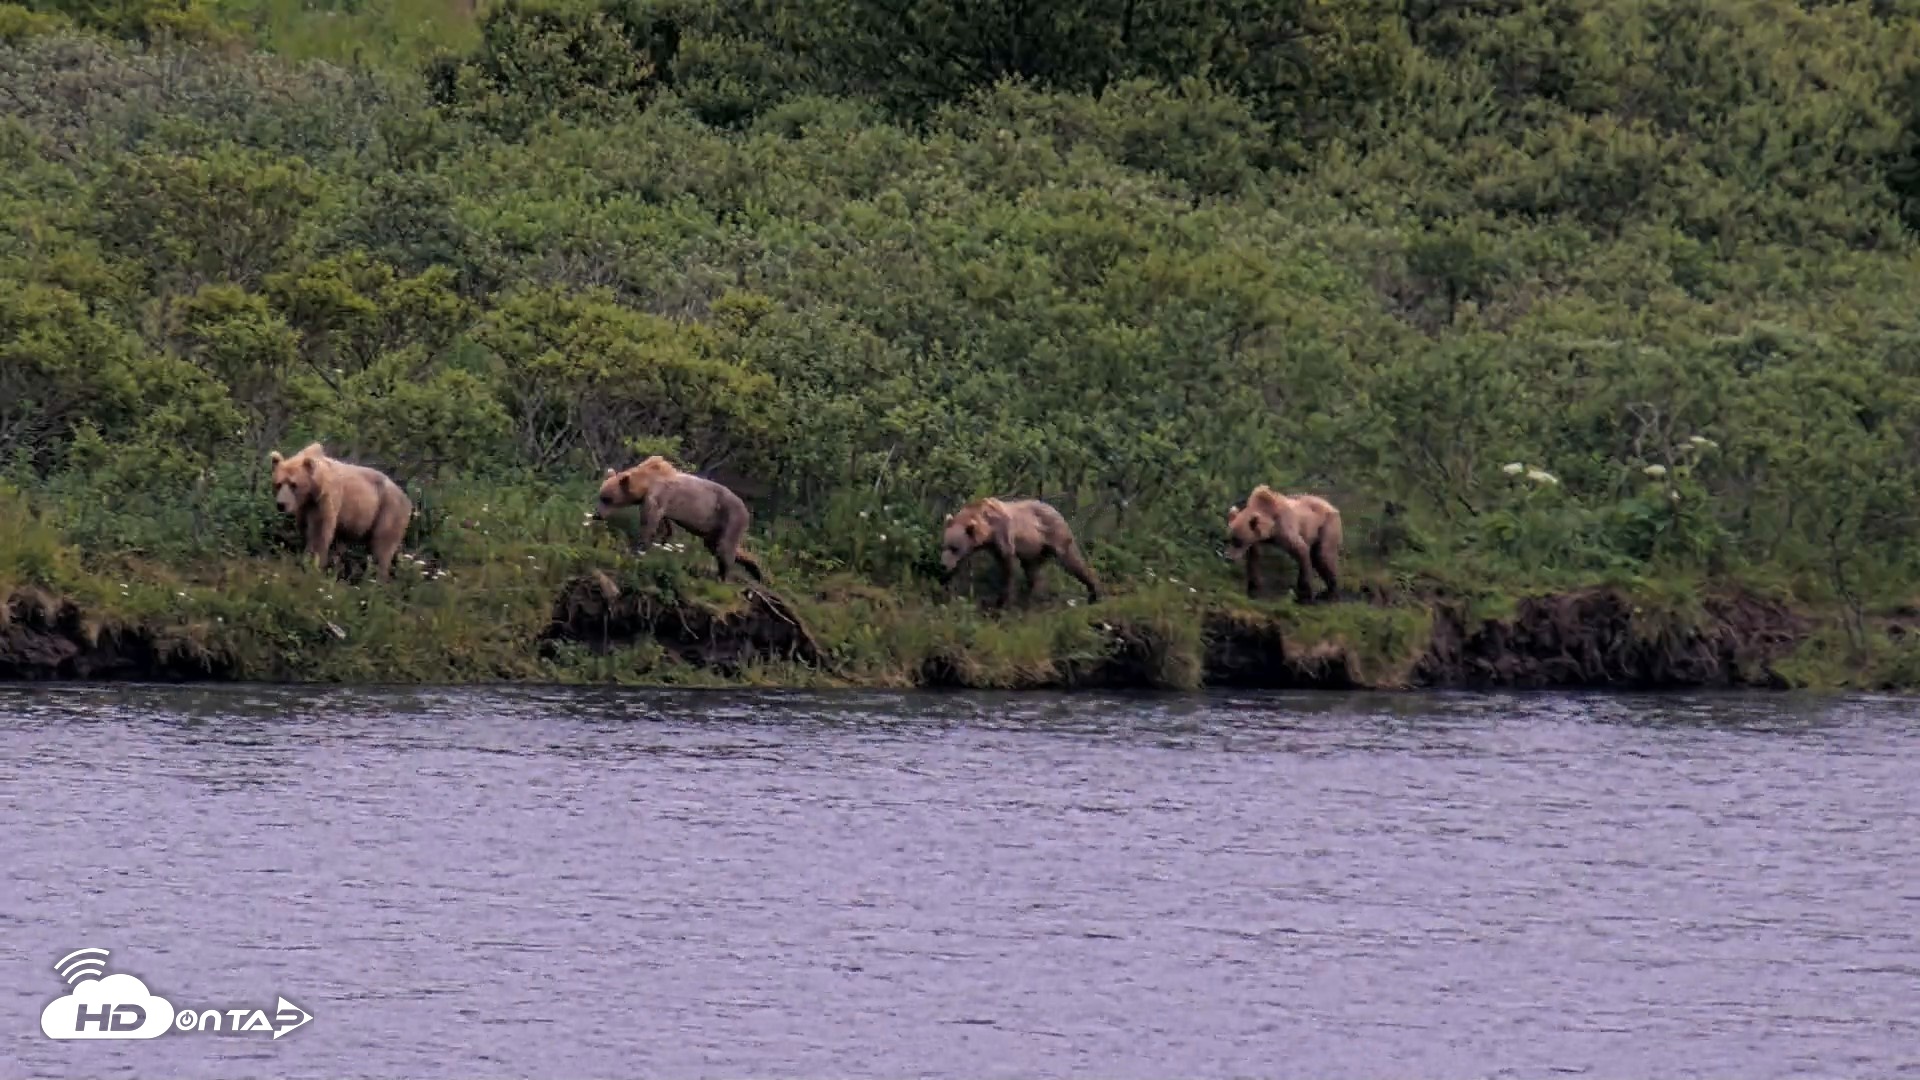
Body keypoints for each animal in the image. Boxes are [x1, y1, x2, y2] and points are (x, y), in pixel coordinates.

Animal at [267, 442, 413, 583]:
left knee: (381, 547)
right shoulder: (305, 507)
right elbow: (305, 528)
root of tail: (407, 499)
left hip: (388, 510)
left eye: (293, 484)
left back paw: (376, 579)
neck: (313, 491)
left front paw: (313, 563)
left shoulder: (326, 500)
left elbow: (319, 532)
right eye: (278, 484)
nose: (281, 504)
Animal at [594, 456, 764, 583]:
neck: (646, 483)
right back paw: (755, 570)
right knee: (718, 546)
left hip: (731, 517)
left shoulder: (657, 497)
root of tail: (747, 511)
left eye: (608, 499)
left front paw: (638, 547)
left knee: (724, 547)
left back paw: (723, 576)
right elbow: (664, 525)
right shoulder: (663, 506)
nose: (597, 515)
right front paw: (662, 541)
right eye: (601, 495)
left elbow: (649, 521)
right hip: (714, 528)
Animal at [939, 497, 1101, 609]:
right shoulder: (985, 547)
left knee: (1073, 561)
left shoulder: (1004, 536)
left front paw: (1002, 602)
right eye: (945, 545)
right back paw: (1031, 597)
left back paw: (1095, 594)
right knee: (1033, 572)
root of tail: (1055, 510)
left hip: (1056, 536)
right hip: (1034, 550)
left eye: (954, 547)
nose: (943, 565)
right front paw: (948, 586)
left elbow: (1007, 567)